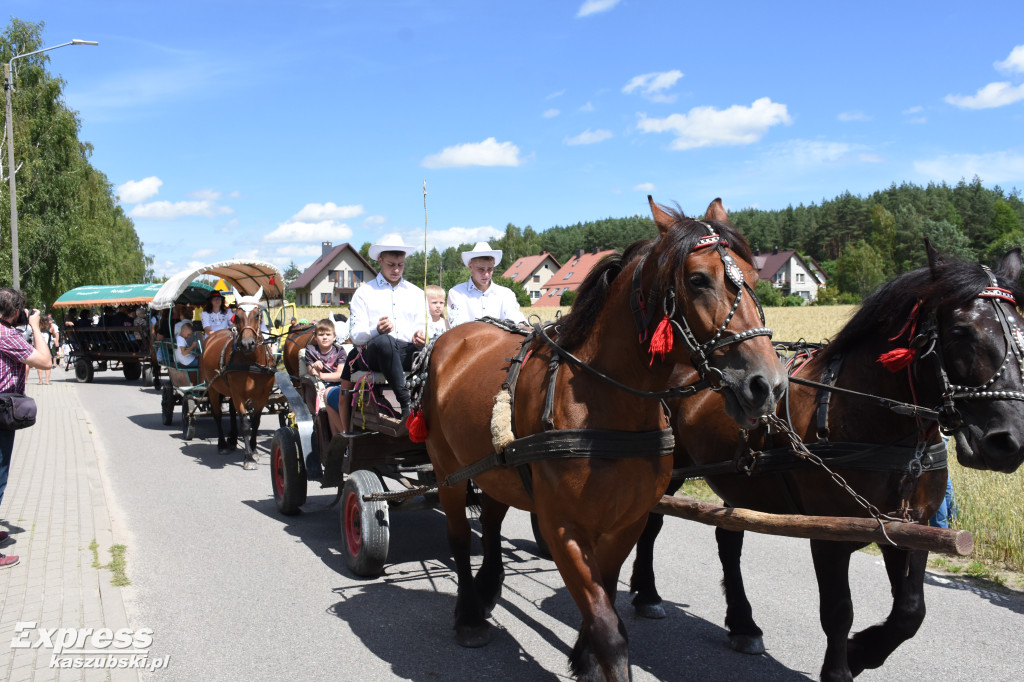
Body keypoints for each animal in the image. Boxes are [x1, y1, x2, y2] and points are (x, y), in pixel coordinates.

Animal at [195, 286, 274, 466]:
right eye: (237, 316)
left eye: (257, 315)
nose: (247, 344)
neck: (252, 362)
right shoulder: (238, 394)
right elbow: (245, 423)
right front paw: (249, 457)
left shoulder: (263, 395)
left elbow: (255, 422)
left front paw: (254, 449)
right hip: (213, 388)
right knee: (218, 414)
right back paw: (222, 444)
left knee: (231, 412)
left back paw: (231, 439)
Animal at [419, 197, 786, 679]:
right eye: (698, 279)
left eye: (756, 278)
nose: (768, 385)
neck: (608, 408)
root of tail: (453, 337)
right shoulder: (564, 527)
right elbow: (610, 630)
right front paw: (597, 659)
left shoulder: (626, 521)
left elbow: (605, 600)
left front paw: (583, 656)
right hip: (448, 470)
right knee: (461, 539)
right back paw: (468, 615)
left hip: (497, 468)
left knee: (493, 523)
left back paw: (487, 589)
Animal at [626, 241, 1024, 675]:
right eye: (961, 332)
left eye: (1022, 330)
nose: (1009, 441)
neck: (870, 416)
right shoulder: (829, 536)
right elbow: (838, 611)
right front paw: (841, 666)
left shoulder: (910, 527)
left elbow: (910, 611)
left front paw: (864, 651)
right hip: (669, 470)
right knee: (652, 522)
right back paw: (647, 594)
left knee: (727, 539)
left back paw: (744, 625)